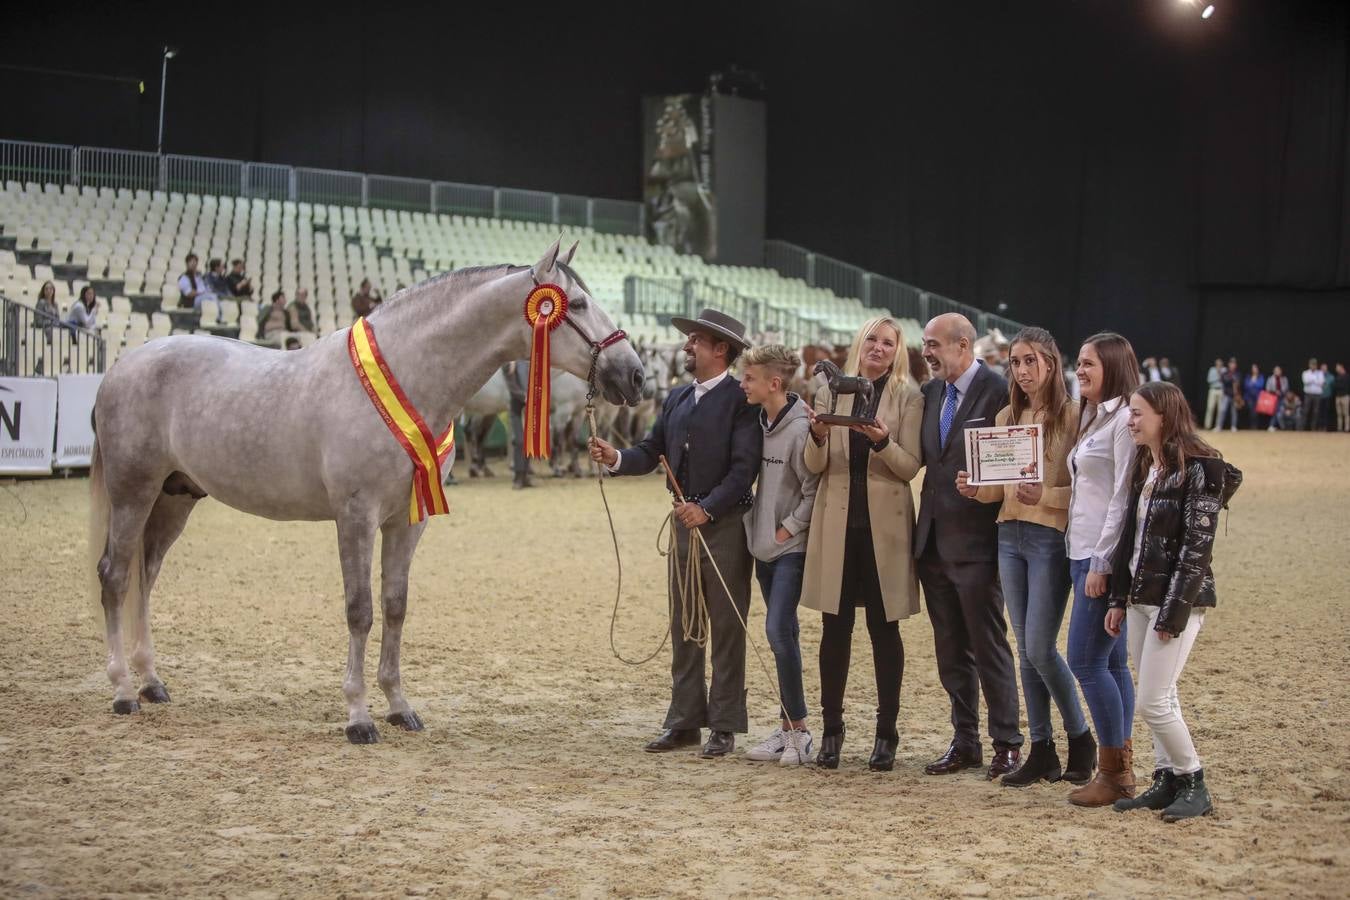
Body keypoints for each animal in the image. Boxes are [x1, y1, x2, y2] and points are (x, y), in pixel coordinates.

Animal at [87, 238, 645, 744]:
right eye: (576, 304)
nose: (635, 375)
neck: (406, 376)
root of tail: (120, 366)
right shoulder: (356, 517)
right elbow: (361, 610)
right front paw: (358, 717)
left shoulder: (407, 522)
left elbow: (395, 606)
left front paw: (399, 707)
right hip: (134, 492)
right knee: (115, 576)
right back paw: (122, 691)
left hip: (174, 498)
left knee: (145, 576)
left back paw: (152, 683)